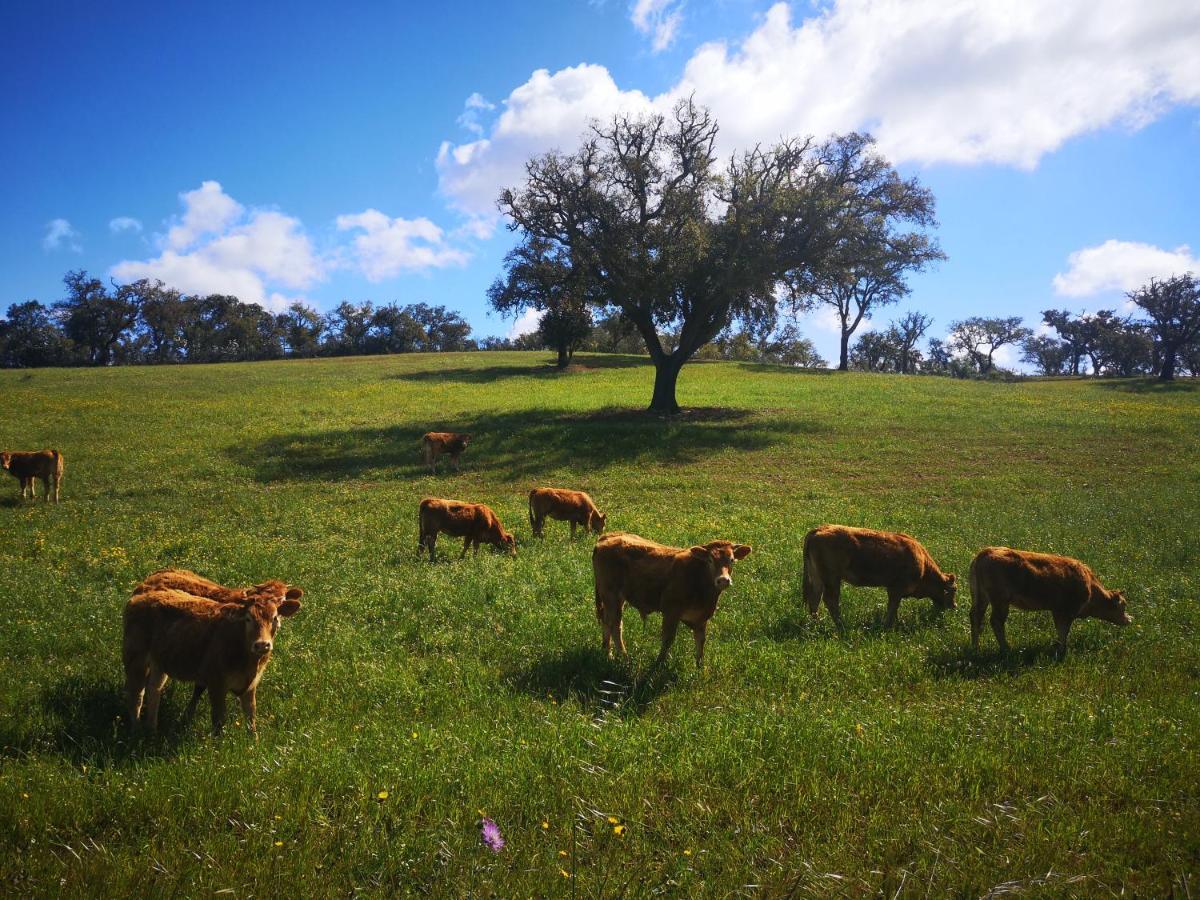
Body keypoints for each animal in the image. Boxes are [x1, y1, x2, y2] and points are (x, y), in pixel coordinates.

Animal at [122, 592, 302, 734]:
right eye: (248, 619)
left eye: (274, 618)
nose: (262, 644)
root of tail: (138, 597)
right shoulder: (216, 684)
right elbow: (219, 720)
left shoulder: (250, 686)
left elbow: (251, 718)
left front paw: (254, 744)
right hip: (136, 660)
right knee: (136, 695)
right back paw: (136, 731)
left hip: (159, 663)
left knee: (154, 690)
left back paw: (152, 729)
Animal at [590, 535, 748, 672]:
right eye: (710, 560)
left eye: (732, 560)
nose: (723, 580)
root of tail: (608, 537)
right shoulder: (671, 612)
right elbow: (668, 639)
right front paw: (659, 663)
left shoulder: (701, 618)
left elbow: (701, 641)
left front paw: (700, 668)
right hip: (612, 596)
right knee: (616, 626)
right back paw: (625, 659)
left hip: (613, 598)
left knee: (607, 621)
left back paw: (607, 652)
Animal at [801, 525, 960, 628]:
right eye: (953, 590)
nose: (954, 606)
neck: (922, 563)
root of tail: (818, 530)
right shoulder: (896, 589)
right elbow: (893, 607)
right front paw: (887, 625)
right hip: (832, 578)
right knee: (830, 600)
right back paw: (841, 625)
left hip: (818, 578)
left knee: (815, 597)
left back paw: (816, 624)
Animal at [969, 547, 1128, 657]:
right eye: (1123, 605)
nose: (1129, 619)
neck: (1090, 585)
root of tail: (985, 552)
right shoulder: (1066, 611)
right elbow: (1063, 630)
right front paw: (1061, 650)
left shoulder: (1056, 610)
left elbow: (1060, 630)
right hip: (1000, 600)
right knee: (996, 621)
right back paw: (1006, 649)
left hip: (981, 598)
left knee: (976, 617)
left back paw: (976, 648)